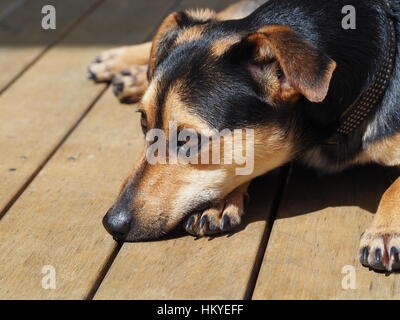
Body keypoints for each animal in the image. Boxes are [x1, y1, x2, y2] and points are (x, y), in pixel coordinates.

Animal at [88, 0, 400, 272]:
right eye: (143, 124)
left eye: (188, 140)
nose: (111, 224)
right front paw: (220, 200)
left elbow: (394, 185)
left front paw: (386, 231)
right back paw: (120, 63)